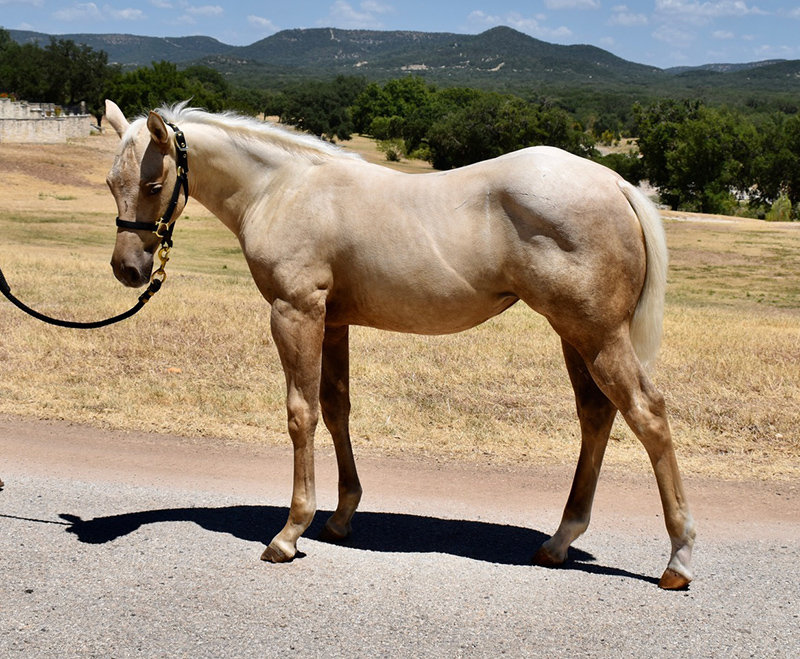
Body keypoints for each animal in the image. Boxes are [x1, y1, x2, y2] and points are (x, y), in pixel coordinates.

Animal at [104, 100, 692, 592]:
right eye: (113, 182)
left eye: (153, 183)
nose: (127, 270)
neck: (284, 188)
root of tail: (617, 184)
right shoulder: (333, 322)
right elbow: (335, 408)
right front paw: (341, 517)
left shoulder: (296, 313)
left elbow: (301, 413)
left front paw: (289, 533)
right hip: (575, 336)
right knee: (597, 415)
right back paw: (559, 541)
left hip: (596, 335)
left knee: (647, 414)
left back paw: (678, 560)